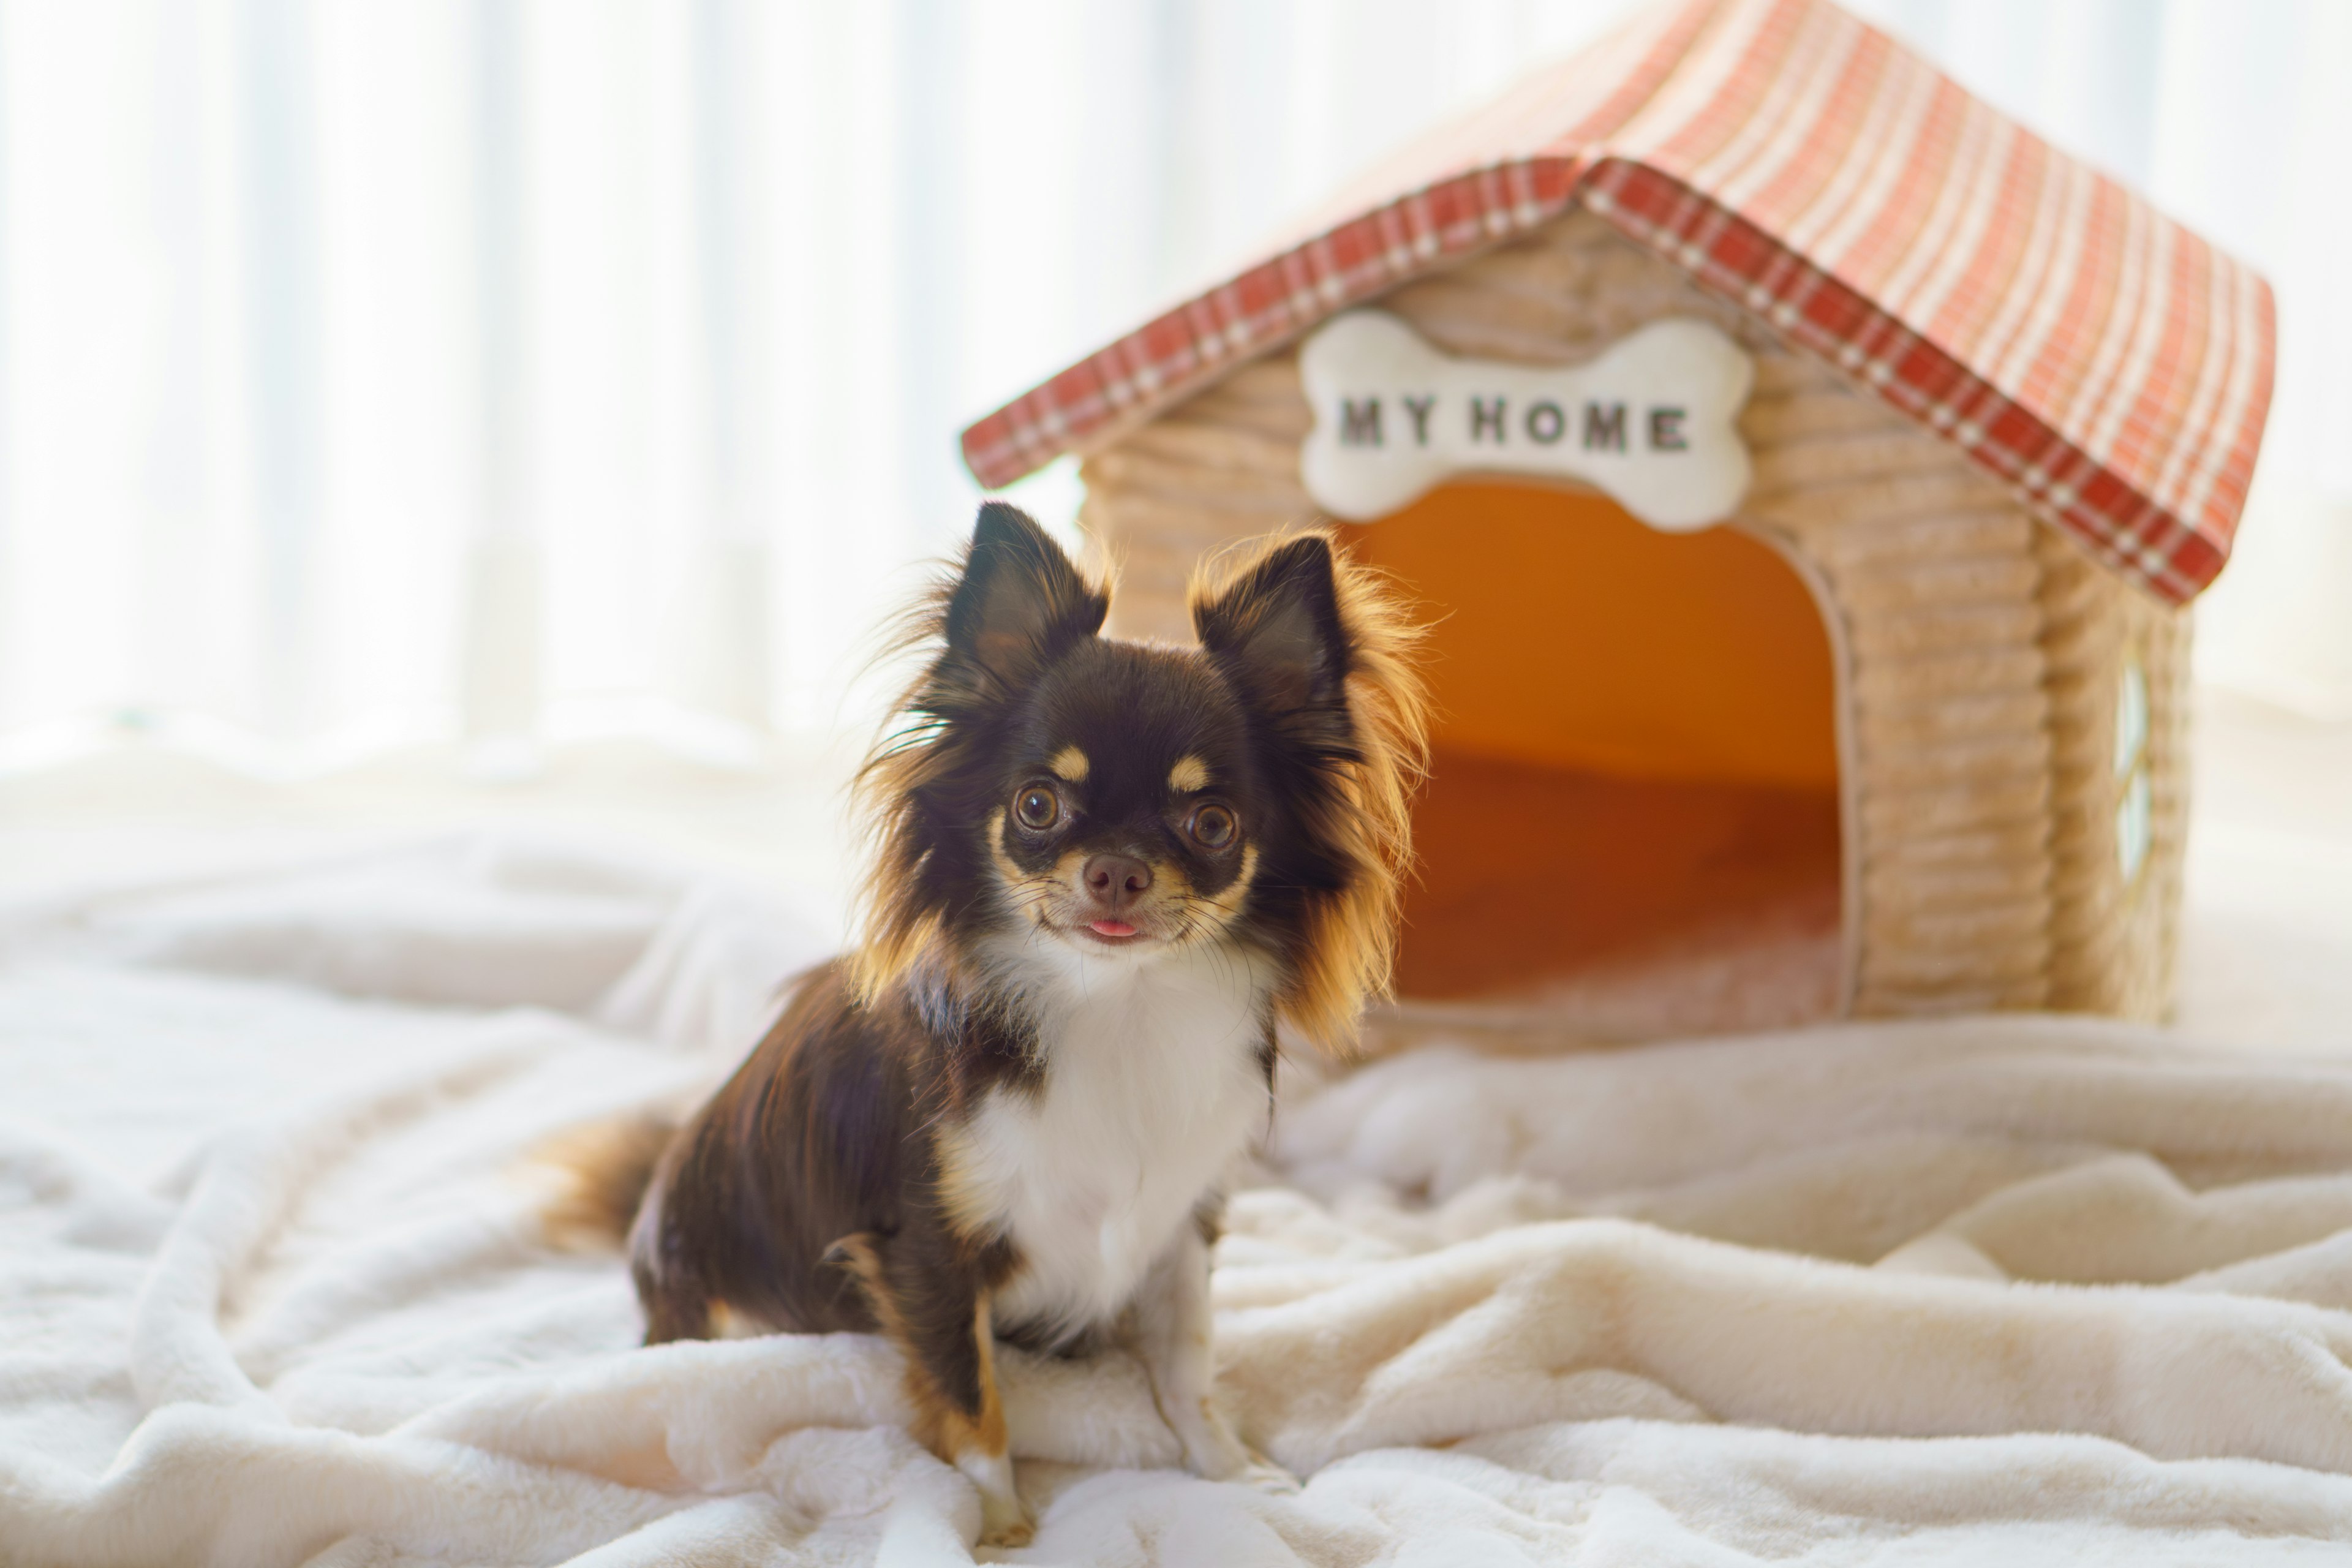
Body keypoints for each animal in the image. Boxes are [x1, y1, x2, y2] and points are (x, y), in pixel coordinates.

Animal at [550, 505, 1420, 1542]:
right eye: (1038, 806)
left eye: (1211, 824)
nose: (1117, 869)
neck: (1116, 1005)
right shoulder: (925, 1247)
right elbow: (970, 1394)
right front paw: (999, 1520)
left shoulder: (1180, 1219)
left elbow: (1187, 1362)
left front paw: (1231, 1472)